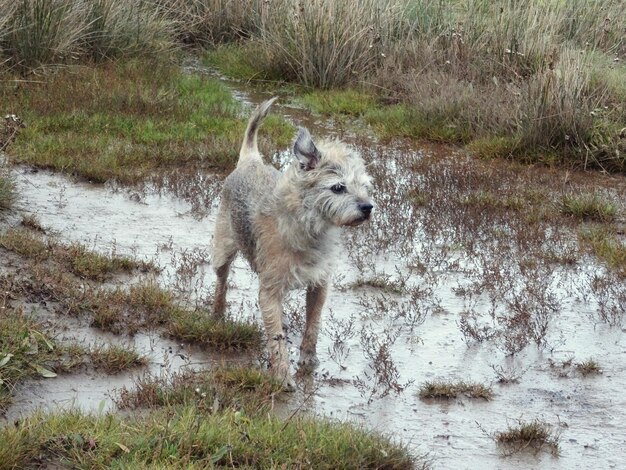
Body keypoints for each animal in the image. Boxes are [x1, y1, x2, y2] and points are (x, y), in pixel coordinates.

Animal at [212, 98, 372, 390]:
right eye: (338, 187)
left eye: (364, 186)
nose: (368, 207)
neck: (308, 225)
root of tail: (250, 160)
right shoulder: (270, 289)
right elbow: (276, 338)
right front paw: (282, 375)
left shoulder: (320, 284)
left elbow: (313, 324)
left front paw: (308, 359)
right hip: (222, 250)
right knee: (222, 281)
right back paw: (217, 313)